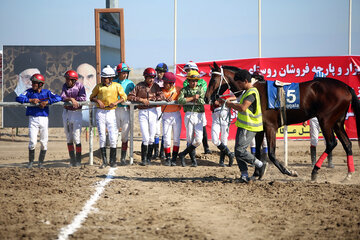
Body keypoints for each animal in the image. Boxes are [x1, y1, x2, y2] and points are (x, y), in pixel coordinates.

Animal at [205, 61, 360, 180]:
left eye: (213, 79)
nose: (207, 98)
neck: (255, 89)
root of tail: (346, 87)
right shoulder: (260, 128)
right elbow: (257, 152)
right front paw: (256, 173)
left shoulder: (270, 127)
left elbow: (271, 154)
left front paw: (288, 171)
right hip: (338, 122)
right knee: (347, 144)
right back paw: (348, 175)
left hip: (325, 120)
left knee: (332, 143)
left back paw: (315, 171)